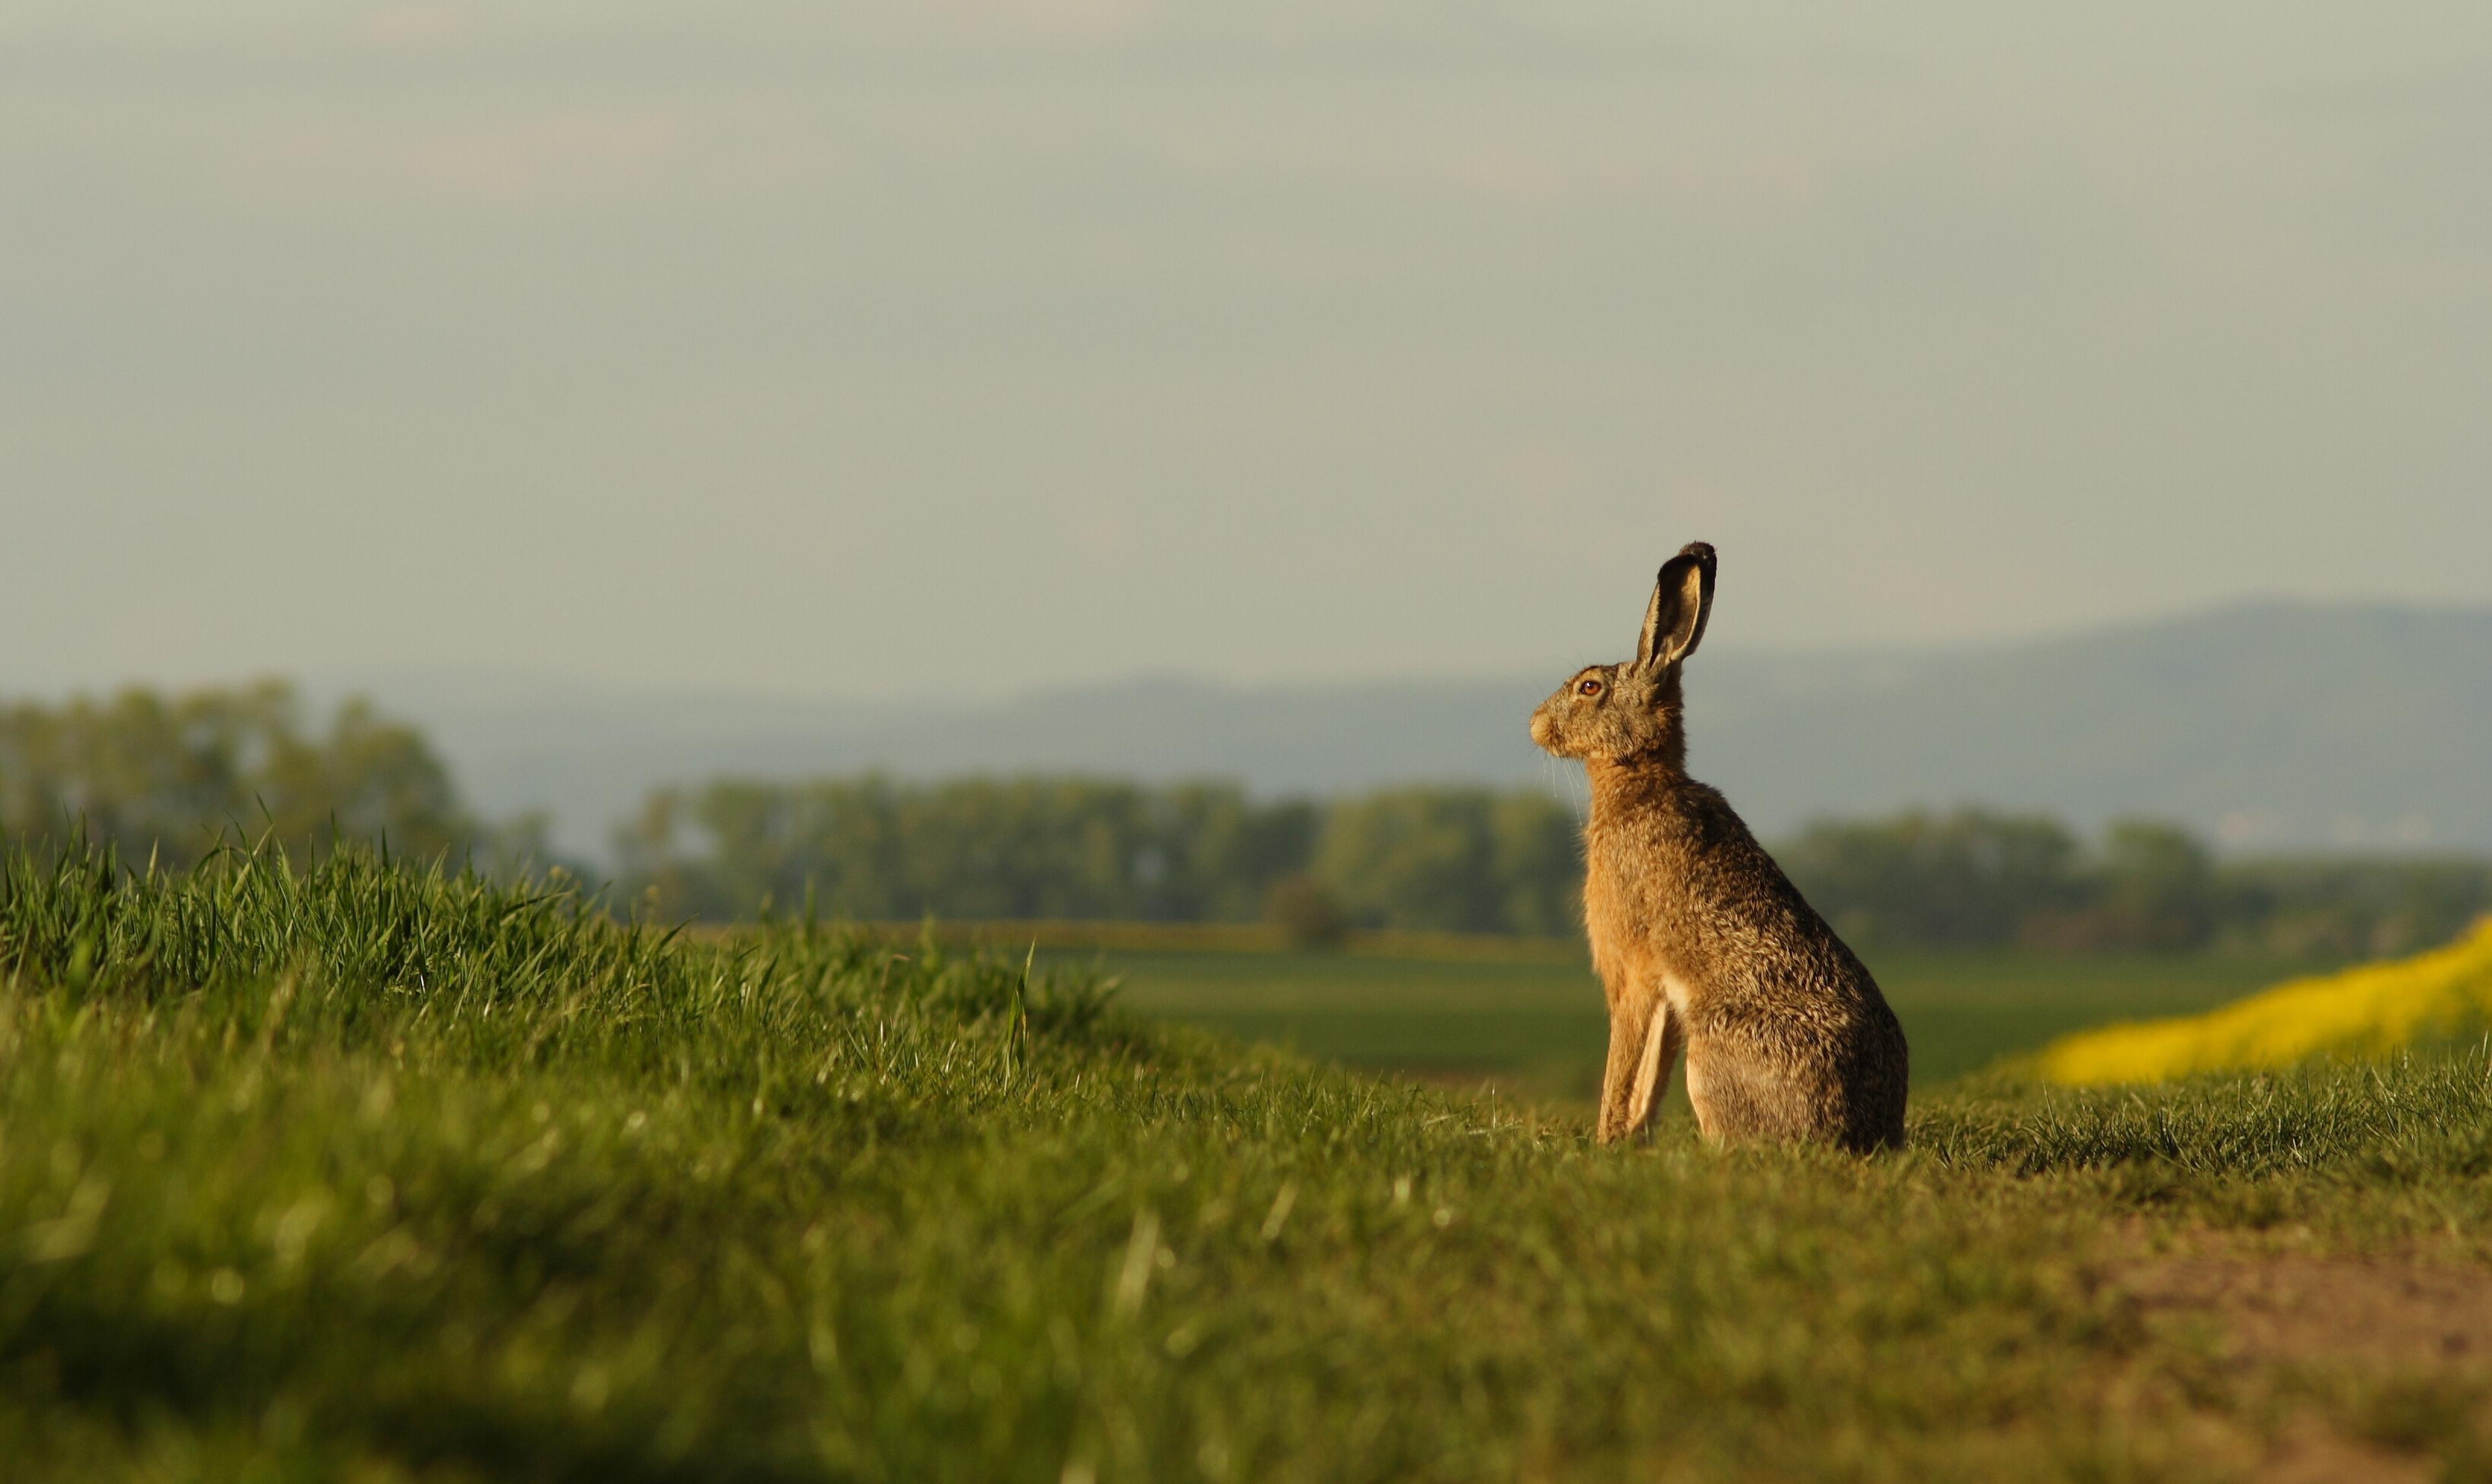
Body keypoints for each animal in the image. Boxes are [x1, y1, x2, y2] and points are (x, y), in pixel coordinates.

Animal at [1529, 542, 1908, 1152]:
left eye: (1589, 687)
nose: (1536, 724)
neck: (1642, 776)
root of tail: (1860, 1132)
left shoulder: (1632, 971)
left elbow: (1624, 1062)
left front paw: (1606, 1140)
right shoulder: (1662, 994)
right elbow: (1650, 1071)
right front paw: (1632, 1139)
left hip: (1712, 1052)